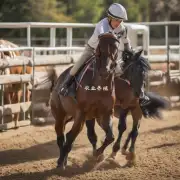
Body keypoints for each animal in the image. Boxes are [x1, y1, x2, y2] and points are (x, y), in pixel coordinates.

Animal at [50, 32, 120, 169]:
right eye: (99, 49)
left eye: (115, 48)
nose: (105, 70)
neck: (99, 86)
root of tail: (58, 81)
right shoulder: (81, 113)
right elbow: (70, 136)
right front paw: (61, 162)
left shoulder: (105, 114)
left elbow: (110, 137)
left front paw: (98, 154)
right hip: (60, 115)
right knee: (61, 136)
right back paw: (61, 160)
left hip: (86, 117)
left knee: (89, 136)